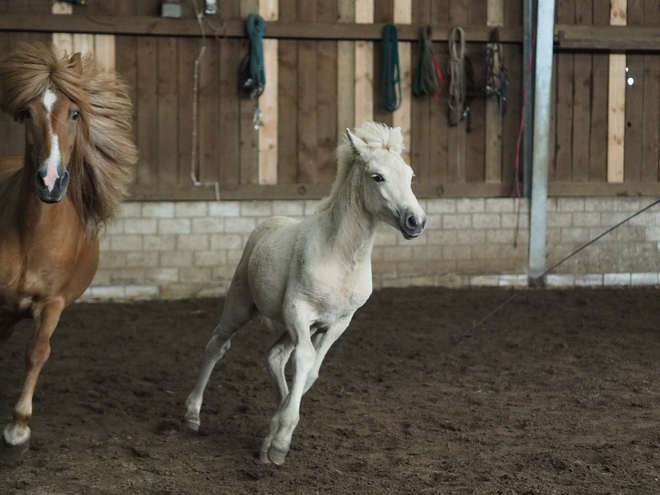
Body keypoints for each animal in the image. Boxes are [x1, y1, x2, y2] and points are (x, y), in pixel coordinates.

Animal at [0, 44, 137, 460]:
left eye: (75, 113)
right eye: (26, 113)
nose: (50, 181)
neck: (32, 235)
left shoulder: (52, 304)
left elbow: (37, 352)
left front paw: (18, 428)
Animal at [183, 120, 426, 464]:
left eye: (410, 174)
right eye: (377, 176)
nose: (416, 221)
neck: (341, 257)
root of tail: (266, 225)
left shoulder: (338, 322)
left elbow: (311, 371)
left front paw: (272, 438)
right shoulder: (299, 310)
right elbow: (306, 359)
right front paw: (280, 444)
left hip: (295, 328)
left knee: (275, 356)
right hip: (242, 306)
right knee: (218, 344)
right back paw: (192, 415)